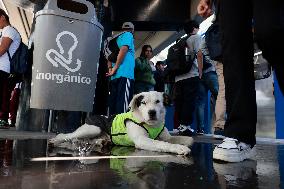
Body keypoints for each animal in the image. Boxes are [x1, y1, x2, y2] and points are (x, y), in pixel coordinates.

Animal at [50, 91, 194, 155]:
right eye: (143, 103)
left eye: (158, 101)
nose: (152, 112)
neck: (153, 125)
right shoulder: (142, 140)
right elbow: (161, 143)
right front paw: (179, 148)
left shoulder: (167, 136)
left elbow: (186, 139)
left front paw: (185, 142)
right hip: (92, 129)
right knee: (67, 135)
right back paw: (54, 141)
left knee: (89, 140)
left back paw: (102, 141)